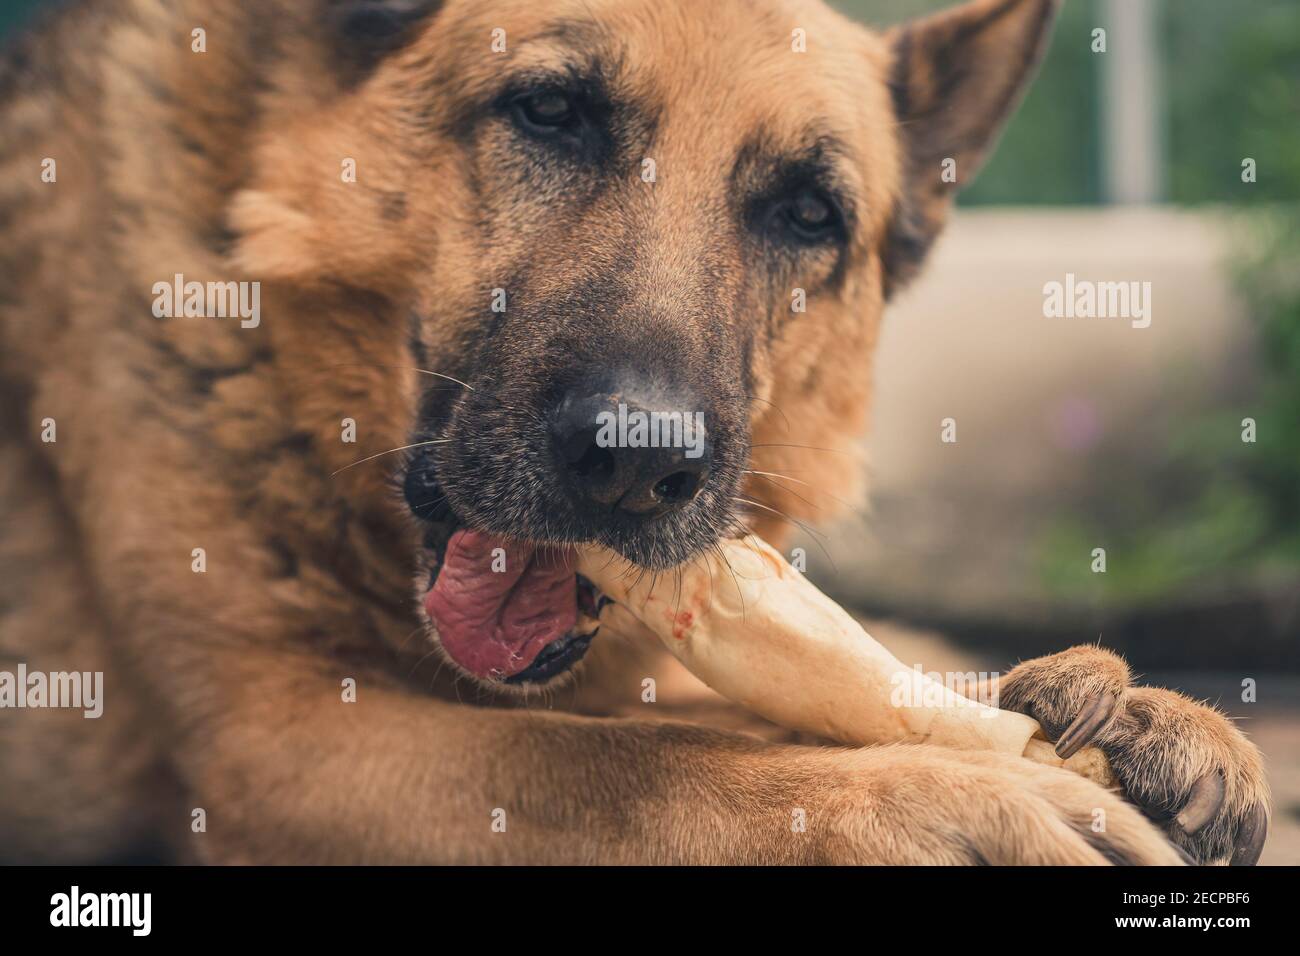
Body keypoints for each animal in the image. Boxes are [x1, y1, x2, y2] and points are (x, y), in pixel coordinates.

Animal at [0, 0, 1263, 868]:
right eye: (551, 112)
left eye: (807, 211)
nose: (639, 461)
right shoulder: (275, 742)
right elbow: (624, 759)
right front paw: (947, 795)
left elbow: (748, 702)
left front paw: (1112, 722)